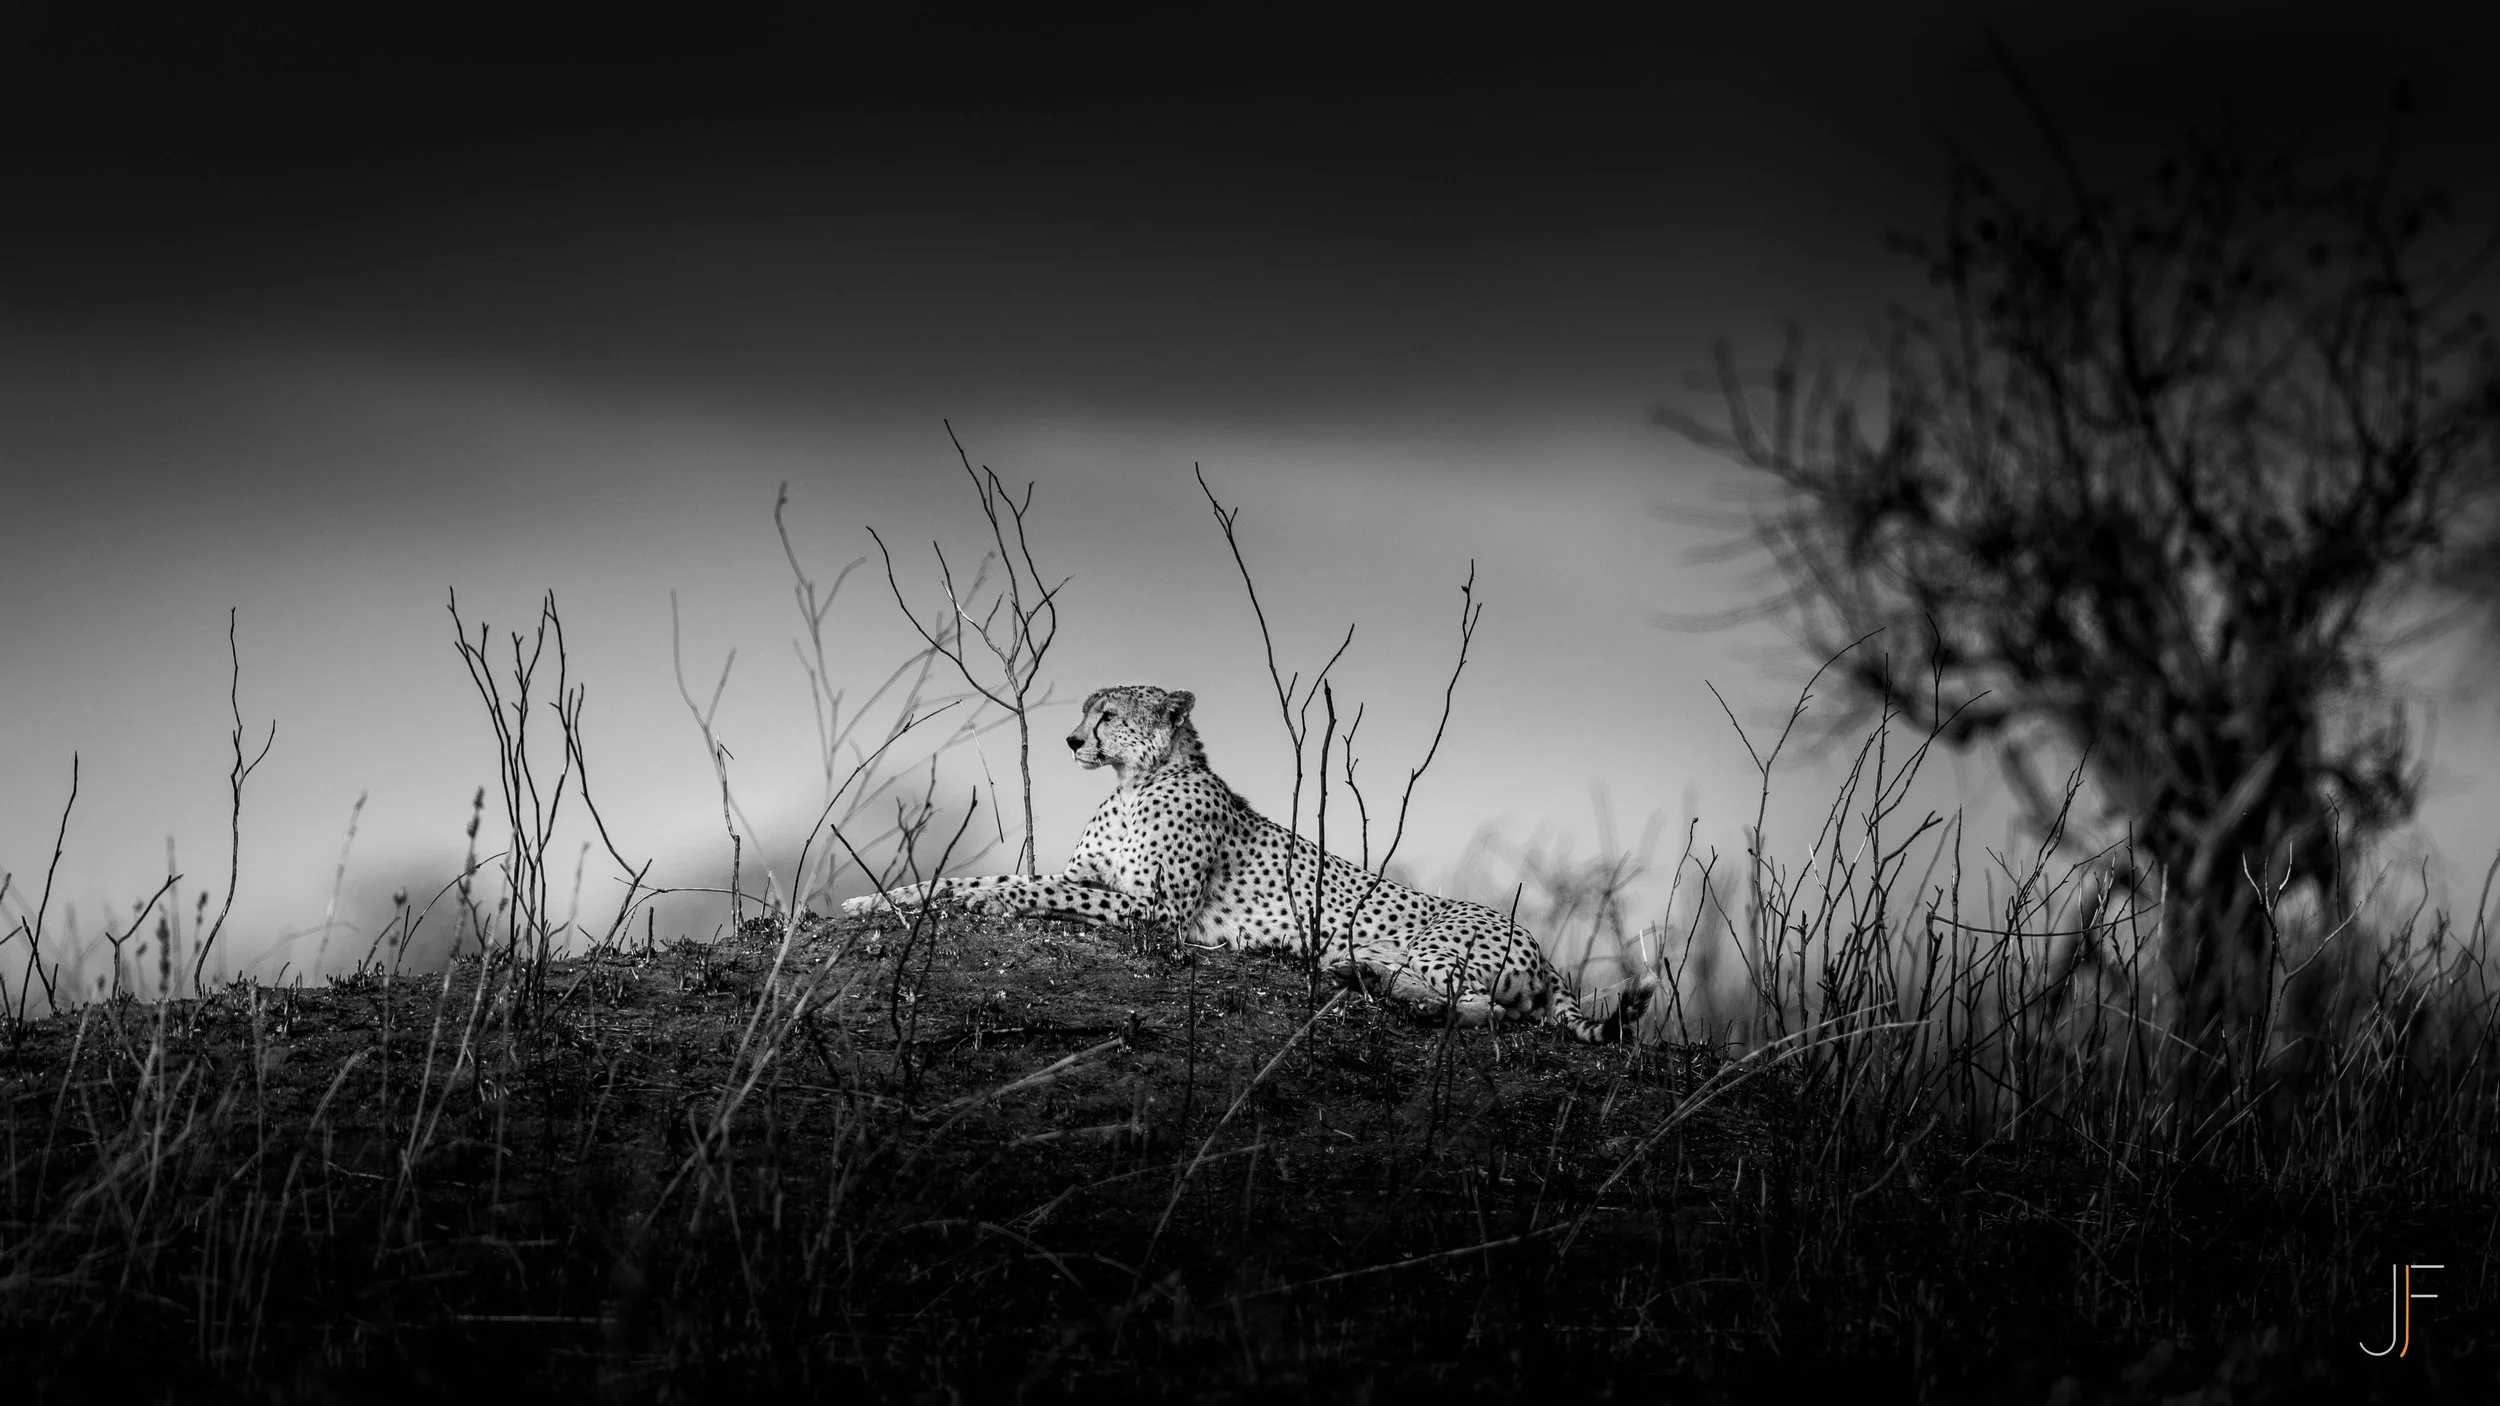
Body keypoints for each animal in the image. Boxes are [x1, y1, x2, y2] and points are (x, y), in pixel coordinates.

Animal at [842, 683, 1648, 1043]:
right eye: (1085, 712)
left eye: (1108, 715)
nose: (1070, 742)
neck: (1135, 782)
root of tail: (1543, 951)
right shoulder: (1095, 880)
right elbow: (998, 876)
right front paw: (878, 899)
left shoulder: (1155, 911)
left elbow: (1025, 885)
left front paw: (970, 902)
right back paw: (1350, 970)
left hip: (1445, 944)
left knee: (1474, 1006)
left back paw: (1377, 982)